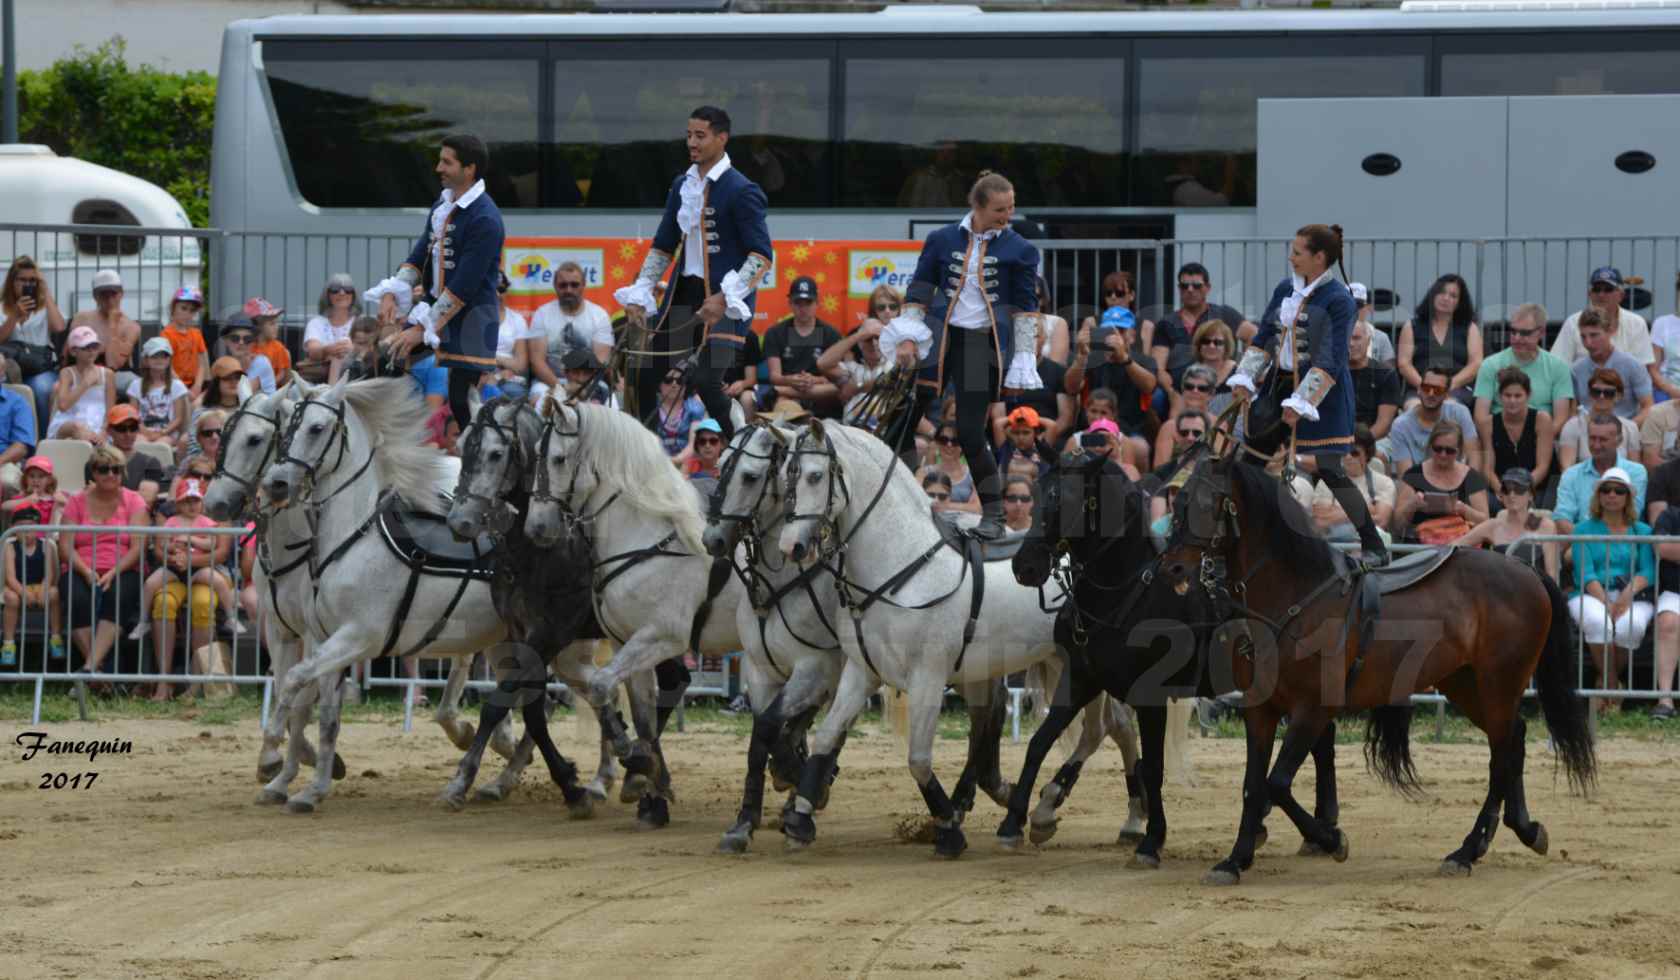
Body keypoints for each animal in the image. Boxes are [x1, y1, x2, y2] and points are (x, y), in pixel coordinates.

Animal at [776, 420, 1075, 860]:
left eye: (815, 476)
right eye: (786, 477)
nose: (790, 546)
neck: (902, 564)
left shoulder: (928, 679)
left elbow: (918, 758)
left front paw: (948, 829)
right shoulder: (862, 671)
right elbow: (827, 736)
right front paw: (799, 818)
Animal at [1162, 457, 1592, 887]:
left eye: (1205, 504)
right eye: (1178, 503)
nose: (1174, 567)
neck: (1297, 594)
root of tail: (1523, 568)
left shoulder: (1312, 710)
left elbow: (1277, 784)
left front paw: (1331, 839)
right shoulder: (1260, 710)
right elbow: (1253, 785)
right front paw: (1235, 859)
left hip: (1499, 683)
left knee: (1502, 756)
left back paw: (1469, 849)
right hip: (1467, 684)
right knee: (1514, 739)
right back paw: (1522, 830)